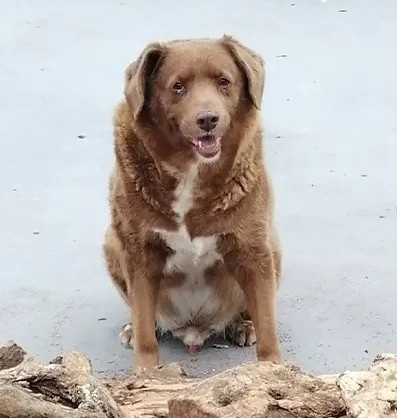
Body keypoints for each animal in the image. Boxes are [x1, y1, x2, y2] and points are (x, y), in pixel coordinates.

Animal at [103, 36, 280, 370]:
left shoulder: (253, 250)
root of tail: (193, 329)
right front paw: (145, 372)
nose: (208, 119)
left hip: (273, 247)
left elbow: (268, 327)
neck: (191, 172)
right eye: (178, 86)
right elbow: (145, 332)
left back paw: (242, 325)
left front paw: (274, 370)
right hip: (111, 242)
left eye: (224, 82)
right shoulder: (139, 253)